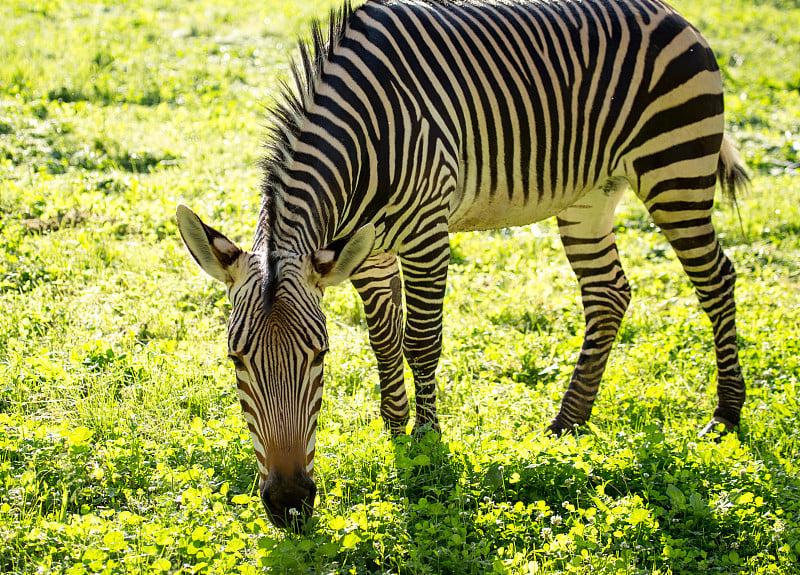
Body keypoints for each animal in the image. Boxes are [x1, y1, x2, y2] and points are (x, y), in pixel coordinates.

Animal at [175, 0, 752, 532]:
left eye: (320, 356)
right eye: (235, 360)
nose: (290, 504)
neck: (363, 134)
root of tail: (670, 11)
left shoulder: (426, 235)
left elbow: (421, 342)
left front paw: (427, 445)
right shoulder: (366, 254)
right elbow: (385, 342)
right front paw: (396, 435)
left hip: (675, 167)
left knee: (715, 278)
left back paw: (725, 416)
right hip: (592, 191)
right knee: (609, 294)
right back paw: (568, 423)